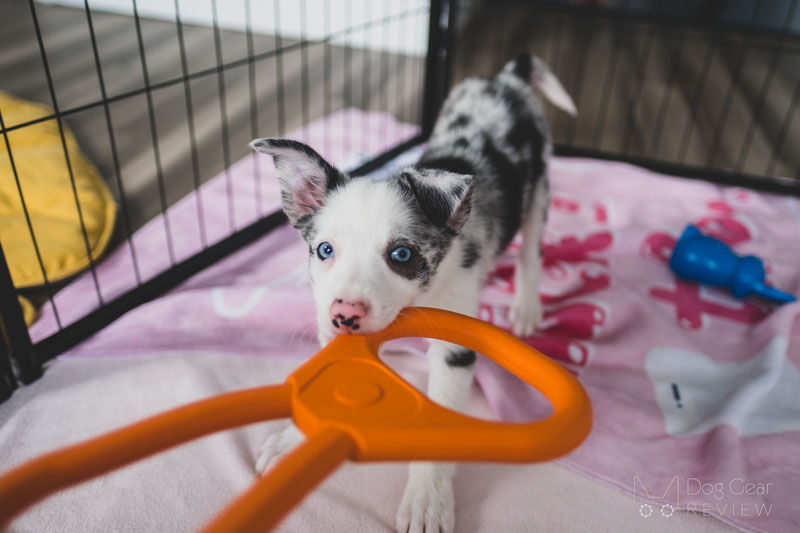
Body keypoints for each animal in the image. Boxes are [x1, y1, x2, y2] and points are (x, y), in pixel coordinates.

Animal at [250, 55, 576, 532]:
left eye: (401, 254)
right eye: (325, 250)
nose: (343, 314)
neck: (421, 296)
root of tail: (505, 78)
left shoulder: (456, 341)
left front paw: (428, 499)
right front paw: (291, 440)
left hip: (541, 185)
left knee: (532, 250)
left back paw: (526, 306)